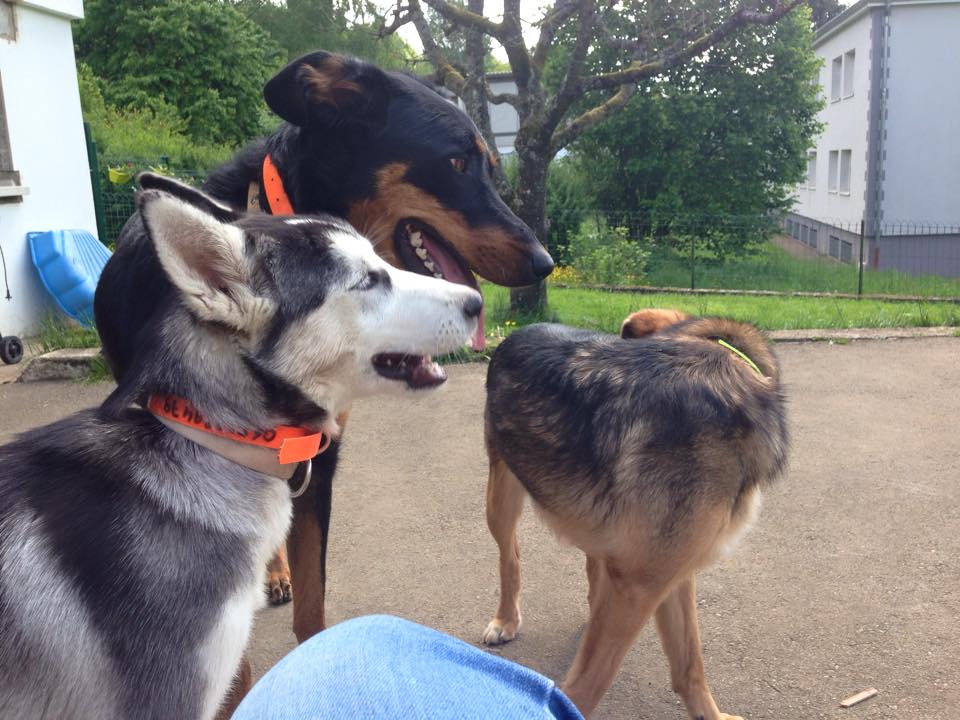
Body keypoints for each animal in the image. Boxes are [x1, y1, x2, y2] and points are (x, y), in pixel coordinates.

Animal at [480, 310, 788, 720]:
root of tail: (520, 331)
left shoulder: (669, 575)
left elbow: (689, 664)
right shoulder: (641, 585)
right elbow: (584, 688)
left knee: (592, 567)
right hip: (501, 497)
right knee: (510, 556)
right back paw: (506, 620)